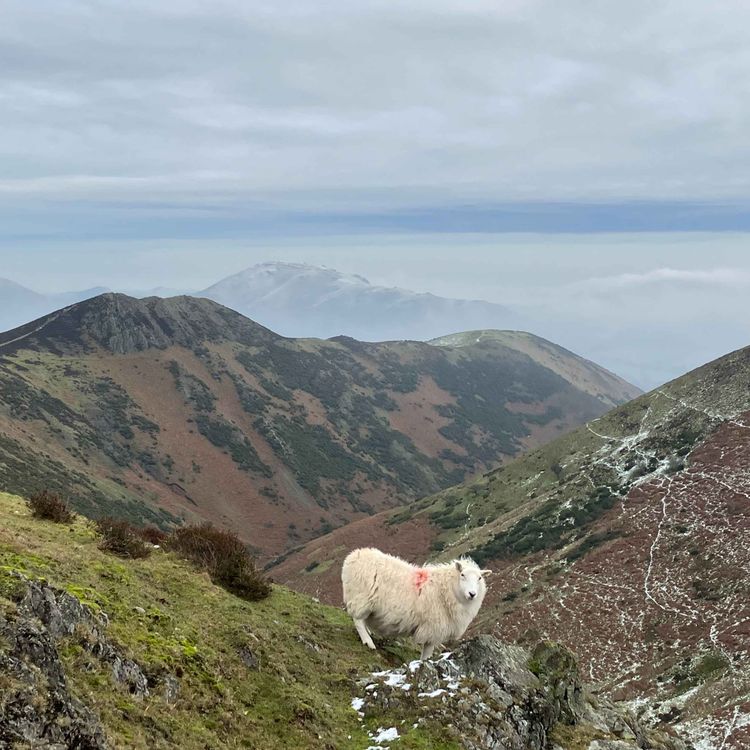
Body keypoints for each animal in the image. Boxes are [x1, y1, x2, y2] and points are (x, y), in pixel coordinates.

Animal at [342, 548, 494, 664]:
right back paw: (368, 642)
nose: (472, 594)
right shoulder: (433, 628)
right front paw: (424, 664)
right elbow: (427, 653)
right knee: (358, 620)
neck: (447, 589)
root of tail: (354, 555)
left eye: (480, 578)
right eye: (462, 575)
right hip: (360, 598)